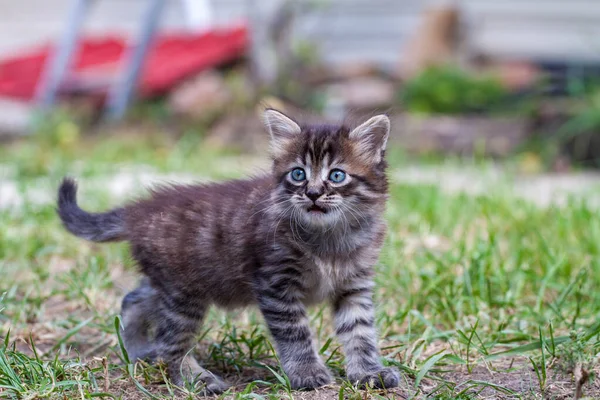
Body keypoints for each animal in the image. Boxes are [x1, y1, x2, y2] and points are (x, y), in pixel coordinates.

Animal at [57, 109, 398, 394]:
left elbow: (360, 333)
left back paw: (138, 350)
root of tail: (139, 211)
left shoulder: (354, 285)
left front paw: (368, 373)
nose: (313, 194)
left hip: (168, 284)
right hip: (184, 293)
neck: (330, 238)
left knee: (134, 300)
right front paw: (307, 373)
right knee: (170, 342)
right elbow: (296, 333)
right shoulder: (276, 285)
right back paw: (196, 379)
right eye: (298, 174)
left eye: (337, 175)